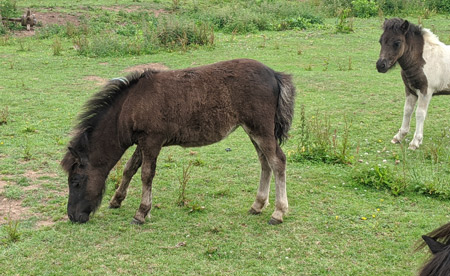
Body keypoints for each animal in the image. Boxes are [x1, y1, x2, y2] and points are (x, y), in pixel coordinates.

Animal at [61, 59, 298, 225]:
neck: (131, 105)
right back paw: (257, 205)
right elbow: (130, 168)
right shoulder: (142, 141)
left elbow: (146, 174)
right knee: (265, 162)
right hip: (252, 130)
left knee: (277, 161)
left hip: (260, 129)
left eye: (76, 181)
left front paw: (141, 213)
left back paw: (278, 213)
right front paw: (116, 200)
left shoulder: (152, 140)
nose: (73, 216)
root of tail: (274, 74)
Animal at [376, 18, 450, 150]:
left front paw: (415, 142)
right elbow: (407, 110)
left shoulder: (425, 91)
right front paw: (399, 136)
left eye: (397, 42)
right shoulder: (410, 90)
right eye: (381, 41)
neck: (423, 60)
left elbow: (420, 113)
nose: (380, 65)